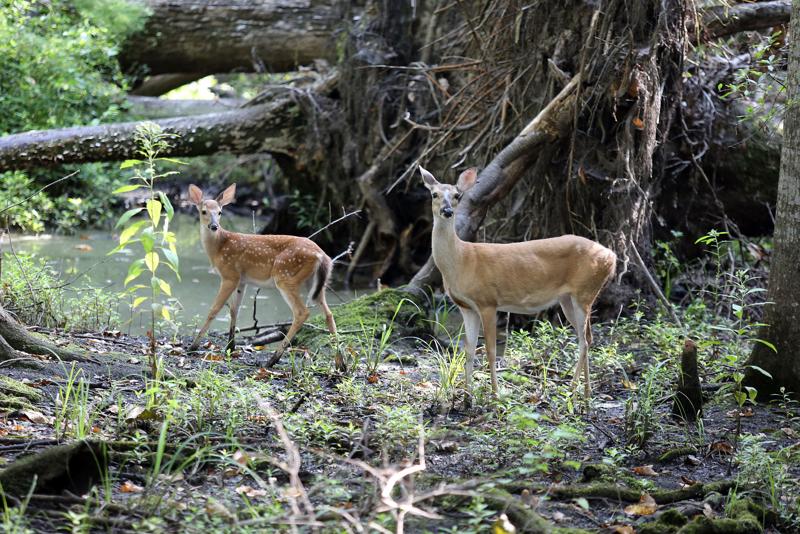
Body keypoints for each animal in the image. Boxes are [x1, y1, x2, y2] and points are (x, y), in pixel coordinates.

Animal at [187, 184, 337, 366]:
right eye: (204, 211)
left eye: (220, 212)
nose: (214, 226)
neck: (218, 248)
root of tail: (322, 255)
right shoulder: (241, 280)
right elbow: (234, 310)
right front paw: (230, 347)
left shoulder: (229, 274)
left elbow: (214, 309)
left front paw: (193, 346)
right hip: (313, 283)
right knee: (328, 313)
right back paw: (341, 363)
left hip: (285, 276)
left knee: (302, 312)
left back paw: (273, 359)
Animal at [419, 166, 617, 402]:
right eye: (434, 194)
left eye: (458, 196)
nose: (447, 211)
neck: (462, 260)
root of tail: (612, 257)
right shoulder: (466, 307)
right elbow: (468, 350)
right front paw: (467, 395)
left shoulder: (488, 301)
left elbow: (491, 351)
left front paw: (494, 395)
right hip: (568, 298)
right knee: (588, 336)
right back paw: (586, 393)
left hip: (585, 291)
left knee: (584, 341)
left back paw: (572, 389)